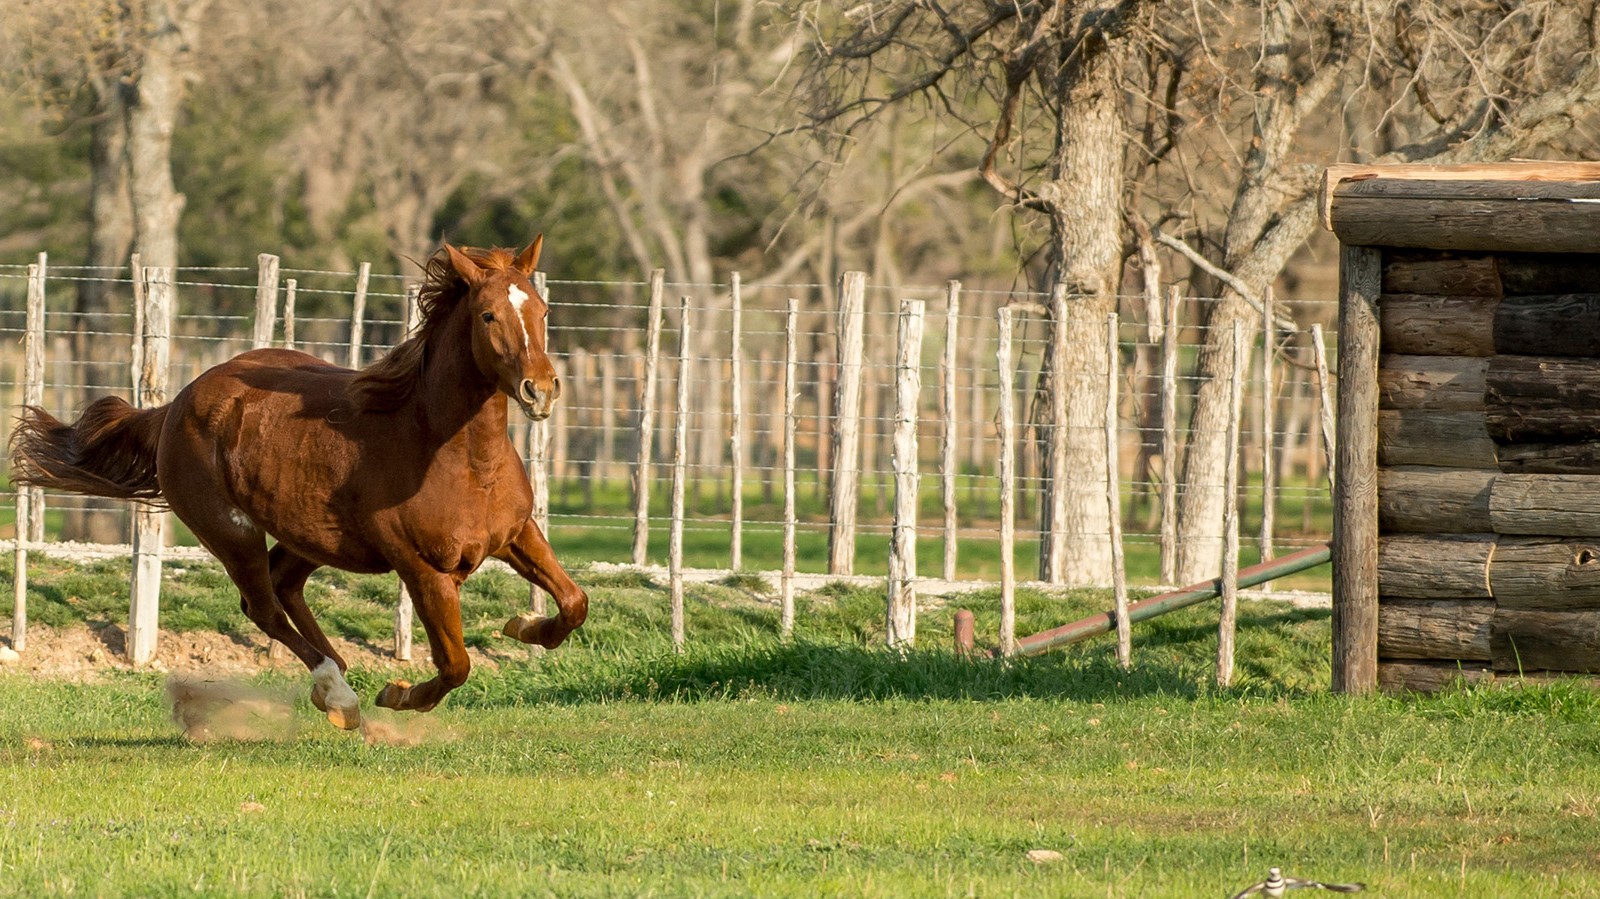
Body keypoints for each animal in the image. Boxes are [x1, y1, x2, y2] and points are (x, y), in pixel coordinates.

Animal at [12, 235, 588, 723]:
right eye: (489, 315)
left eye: (541, 310)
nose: (540, 389)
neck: (459, 459)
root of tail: (174, 406)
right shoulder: (423, 570)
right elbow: (455, 664)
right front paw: (398, 694)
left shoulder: (516, 534)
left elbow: (573, 604)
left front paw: (523, 625)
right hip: (231, 531)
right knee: (262, 605)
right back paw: (339, 693)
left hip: (310, 534)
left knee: (284, 586)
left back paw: (334, 677)